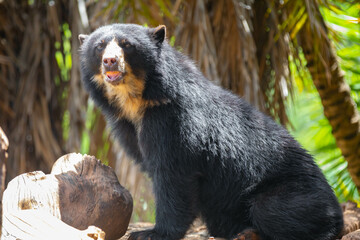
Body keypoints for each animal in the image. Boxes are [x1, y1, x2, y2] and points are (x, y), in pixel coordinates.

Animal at [79, 23, 344, 240]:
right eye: (99, 46)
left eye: (127, 45)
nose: (110, 61)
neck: (138, 100)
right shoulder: (128, 128)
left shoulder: (174, 121)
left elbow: (173, 175)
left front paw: (152, 233)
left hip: (296, 193)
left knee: (271, 209)